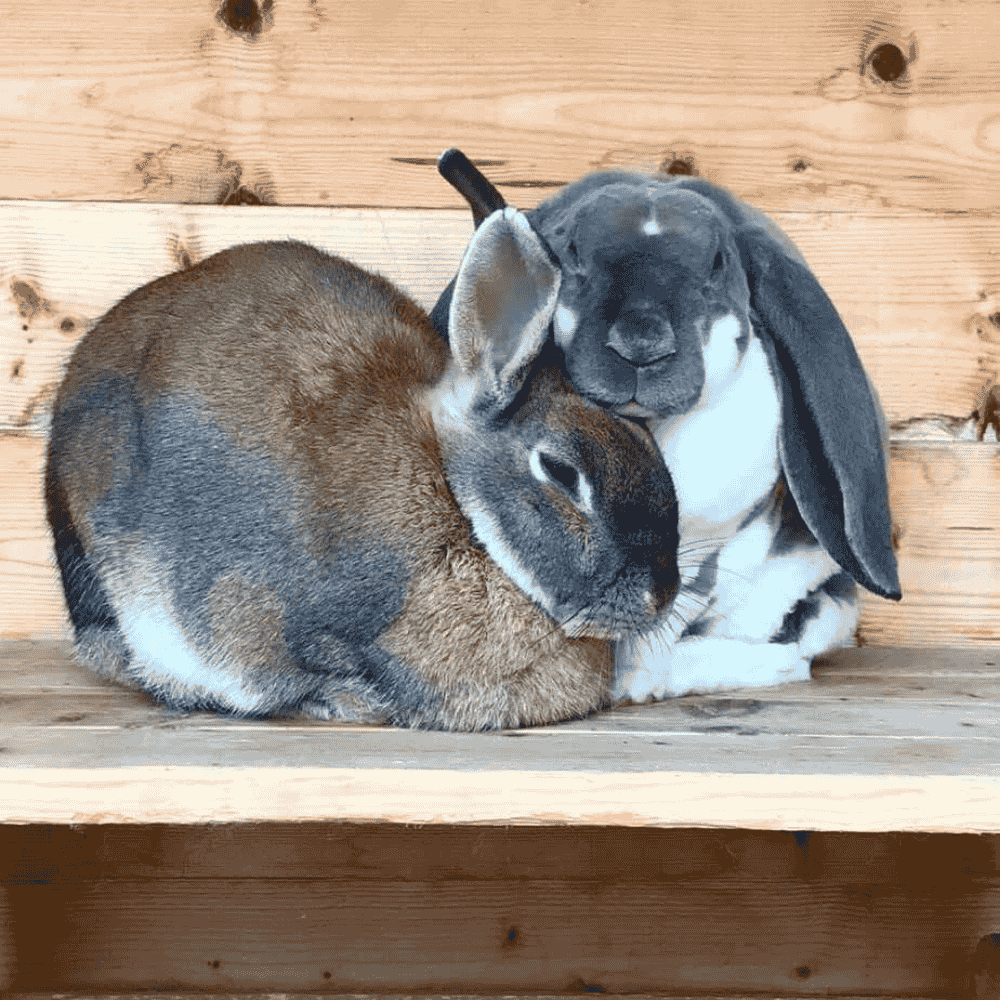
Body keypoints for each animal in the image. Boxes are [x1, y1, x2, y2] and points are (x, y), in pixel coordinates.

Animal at [433, 149, 901, 702]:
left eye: (718, 263)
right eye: (572, 251)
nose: (641, 341)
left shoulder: (707, 553)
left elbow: (657, 631)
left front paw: (641, 681)